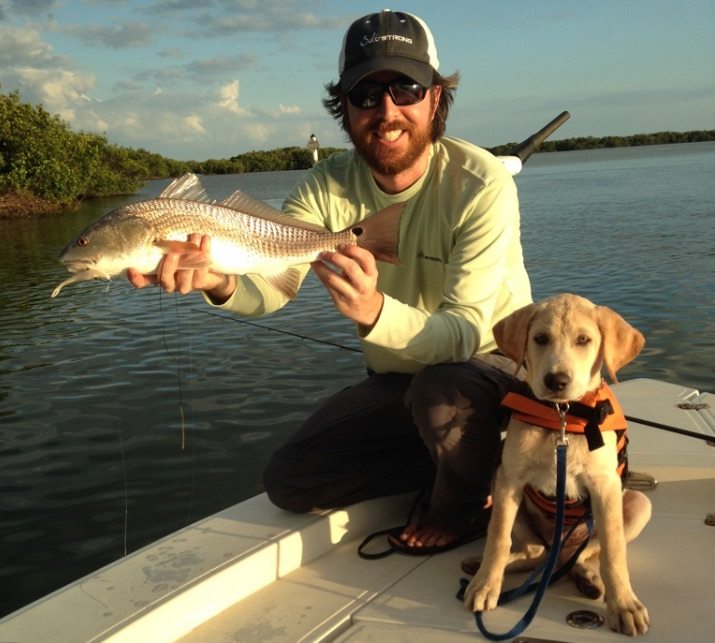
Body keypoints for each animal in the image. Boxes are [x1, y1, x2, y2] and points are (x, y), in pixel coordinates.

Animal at [464, 294, 656, 636]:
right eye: (540, 338)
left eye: (584, 340)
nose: (557, 381)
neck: (562, 416)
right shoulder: (509, 479)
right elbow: (498, 538)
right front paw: (486, 585)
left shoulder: (606, 487)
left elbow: (613, 551)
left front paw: (624, 605)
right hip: (503, 493)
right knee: (536, 552)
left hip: (637, 504)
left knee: (581, 554)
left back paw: (587, 578)